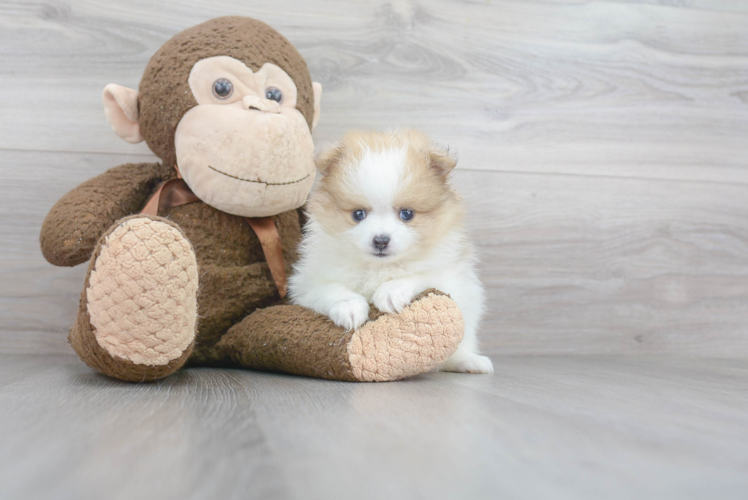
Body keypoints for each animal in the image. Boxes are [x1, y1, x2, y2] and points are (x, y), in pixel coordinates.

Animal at [290, 131, 494, 374]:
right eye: (358, 214)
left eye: (406, 214)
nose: (380, 240)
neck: (379, 267)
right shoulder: (307, 282)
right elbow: (329, 289)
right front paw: (349, 307)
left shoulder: (451, 277)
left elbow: (423, 276)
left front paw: (391, 290)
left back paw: (471, 362)